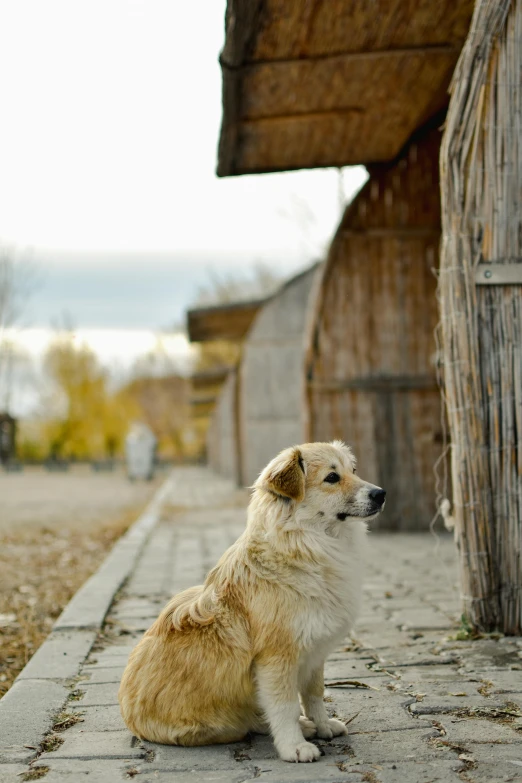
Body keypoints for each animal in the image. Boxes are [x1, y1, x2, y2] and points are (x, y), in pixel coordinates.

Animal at [120, 444, 384, 764]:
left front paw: (321, 725)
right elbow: (284, 706)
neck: (305, 544)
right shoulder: (276, 659)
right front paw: (293, 746)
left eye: (353, 471)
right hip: (219, 726)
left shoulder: (314, 653)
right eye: (332, 477)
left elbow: (314, 694)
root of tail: (128, 715)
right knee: (250, 721)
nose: (381, 493)